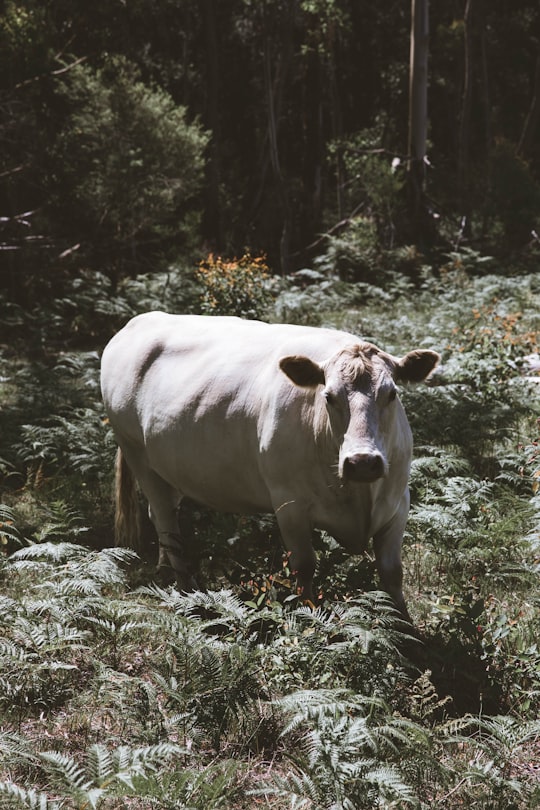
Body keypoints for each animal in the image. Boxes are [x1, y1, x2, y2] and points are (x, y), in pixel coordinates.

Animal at [101, 312, 438, 616]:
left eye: (392, 394)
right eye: (328, 396)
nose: (363, 462)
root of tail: (140, 321)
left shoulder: (399, 502)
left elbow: (392, 571)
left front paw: (405, 626)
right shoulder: (289, 505)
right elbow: (304, 568)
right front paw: (310, 619)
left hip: (169, 469)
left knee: (161, 515)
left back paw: (164, 571)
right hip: (137, 454)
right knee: (166, 523)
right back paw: (187, 591)